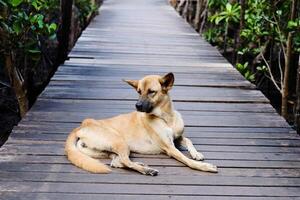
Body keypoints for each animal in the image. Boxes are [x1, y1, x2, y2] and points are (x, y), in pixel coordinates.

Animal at [64, 72, 217, 175]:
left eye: (151, 92)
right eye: (138, 91)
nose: (137, 106)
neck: (167, 118)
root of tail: (83, 125)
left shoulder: (177, 139)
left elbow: (189, 140)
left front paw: (196, 154)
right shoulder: (170, 147)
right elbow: (187, 161)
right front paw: (204, 166)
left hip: (107, 150)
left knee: (118, 162)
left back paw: (141, 165)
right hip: (120, 141)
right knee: (124, 161)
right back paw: (147, 170)